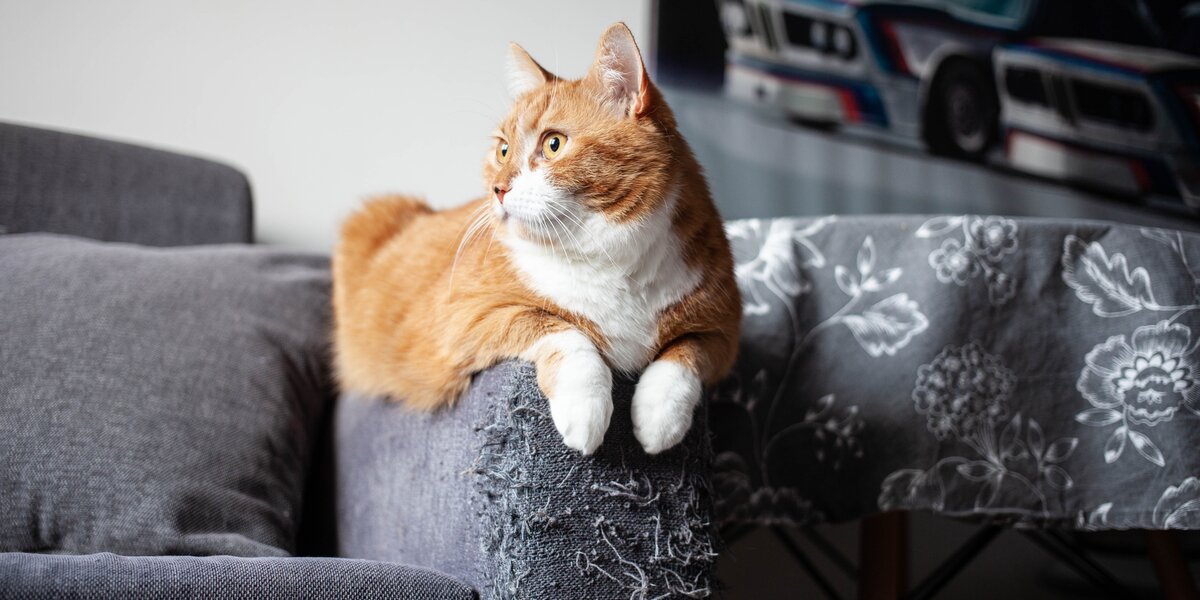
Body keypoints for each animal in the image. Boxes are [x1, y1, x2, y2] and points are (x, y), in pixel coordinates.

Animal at [331, 23, 739, 453]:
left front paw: (660, 415)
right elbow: (558, 328)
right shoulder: (466, 316)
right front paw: (585, 408)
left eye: (553, 144)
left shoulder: (725, 333)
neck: (610, 260)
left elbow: (687, 352)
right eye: (503, 150)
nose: (497, 189)